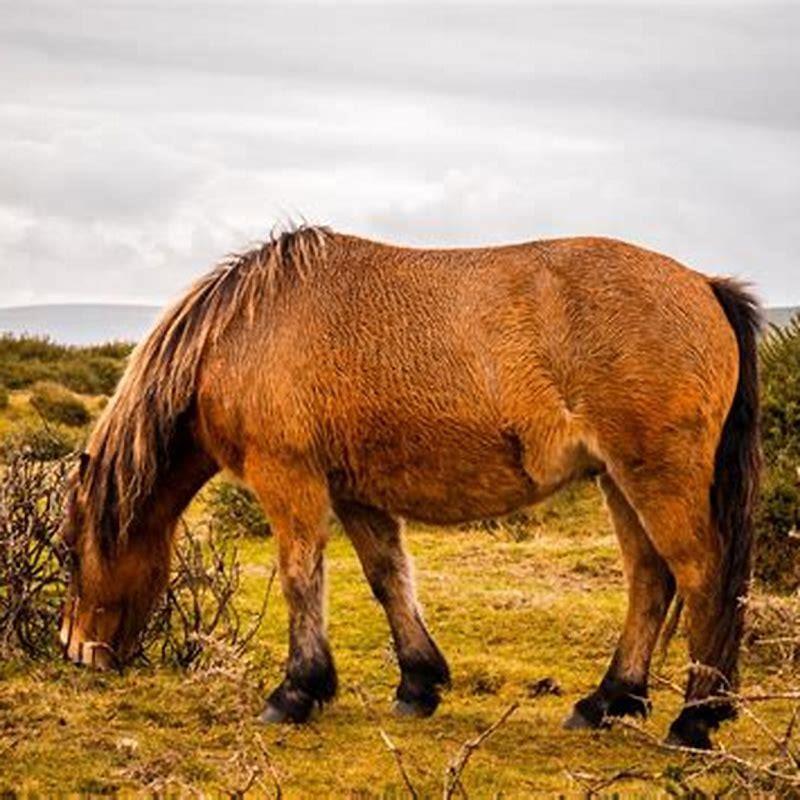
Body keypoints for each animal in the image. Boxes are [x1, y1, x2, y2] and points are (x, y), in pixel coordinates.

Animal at [58, 225, 761, 749]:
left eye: (68, 549)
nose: (76, 652)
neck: (242, 332)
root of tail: (704, 286)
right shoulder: (355, 493)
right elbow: (387, 577)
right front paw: (418, 683)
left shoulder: (288, 476)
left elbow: (299, 575)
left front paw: (296, 690)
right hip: (619, 481)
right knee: (651, 580)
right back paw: (609, 700)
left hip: (656, 477)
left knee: (699, 576)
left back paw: (695, 718)